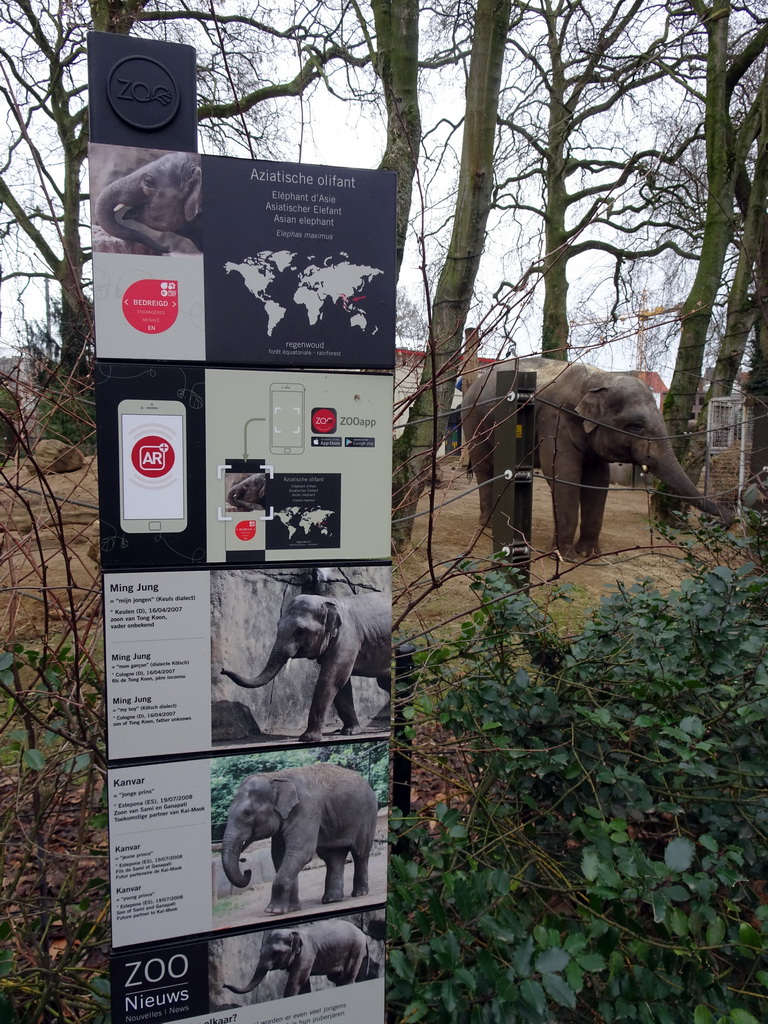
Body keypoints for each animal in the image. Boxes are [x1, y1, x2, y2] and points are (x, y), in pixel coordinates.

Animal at [219, 765, 378, 917]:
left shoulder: (306, 809)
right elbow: (280, 856)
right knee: (334, 857)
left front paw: (273, 911)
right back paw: (331, 899)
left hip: (367, 815)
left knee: (360, 852)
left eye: (248, 814)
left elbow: (300, 852)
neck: (276, 777)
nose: (247, 871)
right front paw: (292, 909)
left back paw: (359, 893)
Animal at [221, 589, 391, 741]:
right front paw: (349, 732)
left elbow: (332, 679)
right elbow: (342, 684)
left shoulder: (348, 638)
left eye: (300, 631)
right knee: (384, 682)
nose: (222, 670)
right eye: (278, 625)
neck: (331, 601)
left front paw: (308, 739)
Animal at [222, 921, 370, 999]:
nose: (223, 985)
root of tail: (363, 934)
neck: (294, 931)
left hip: (356, 949)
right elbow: (303, 983)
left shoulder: (307, 954)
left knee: (346, 977)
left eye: (275, 952)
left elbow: (296, 981)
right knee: (336, 979)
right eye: (260, 951)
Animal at [462, 354, 733, 561]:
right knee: (485, 468)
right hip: (474, 423)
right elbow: (565, 477)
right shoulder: (555, 421)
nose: (729, 519)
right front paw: (566, 557)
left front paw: (590, 555)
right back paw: (487, 527)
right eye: (636, 426)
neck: (600, 378)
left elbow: (598, 481)